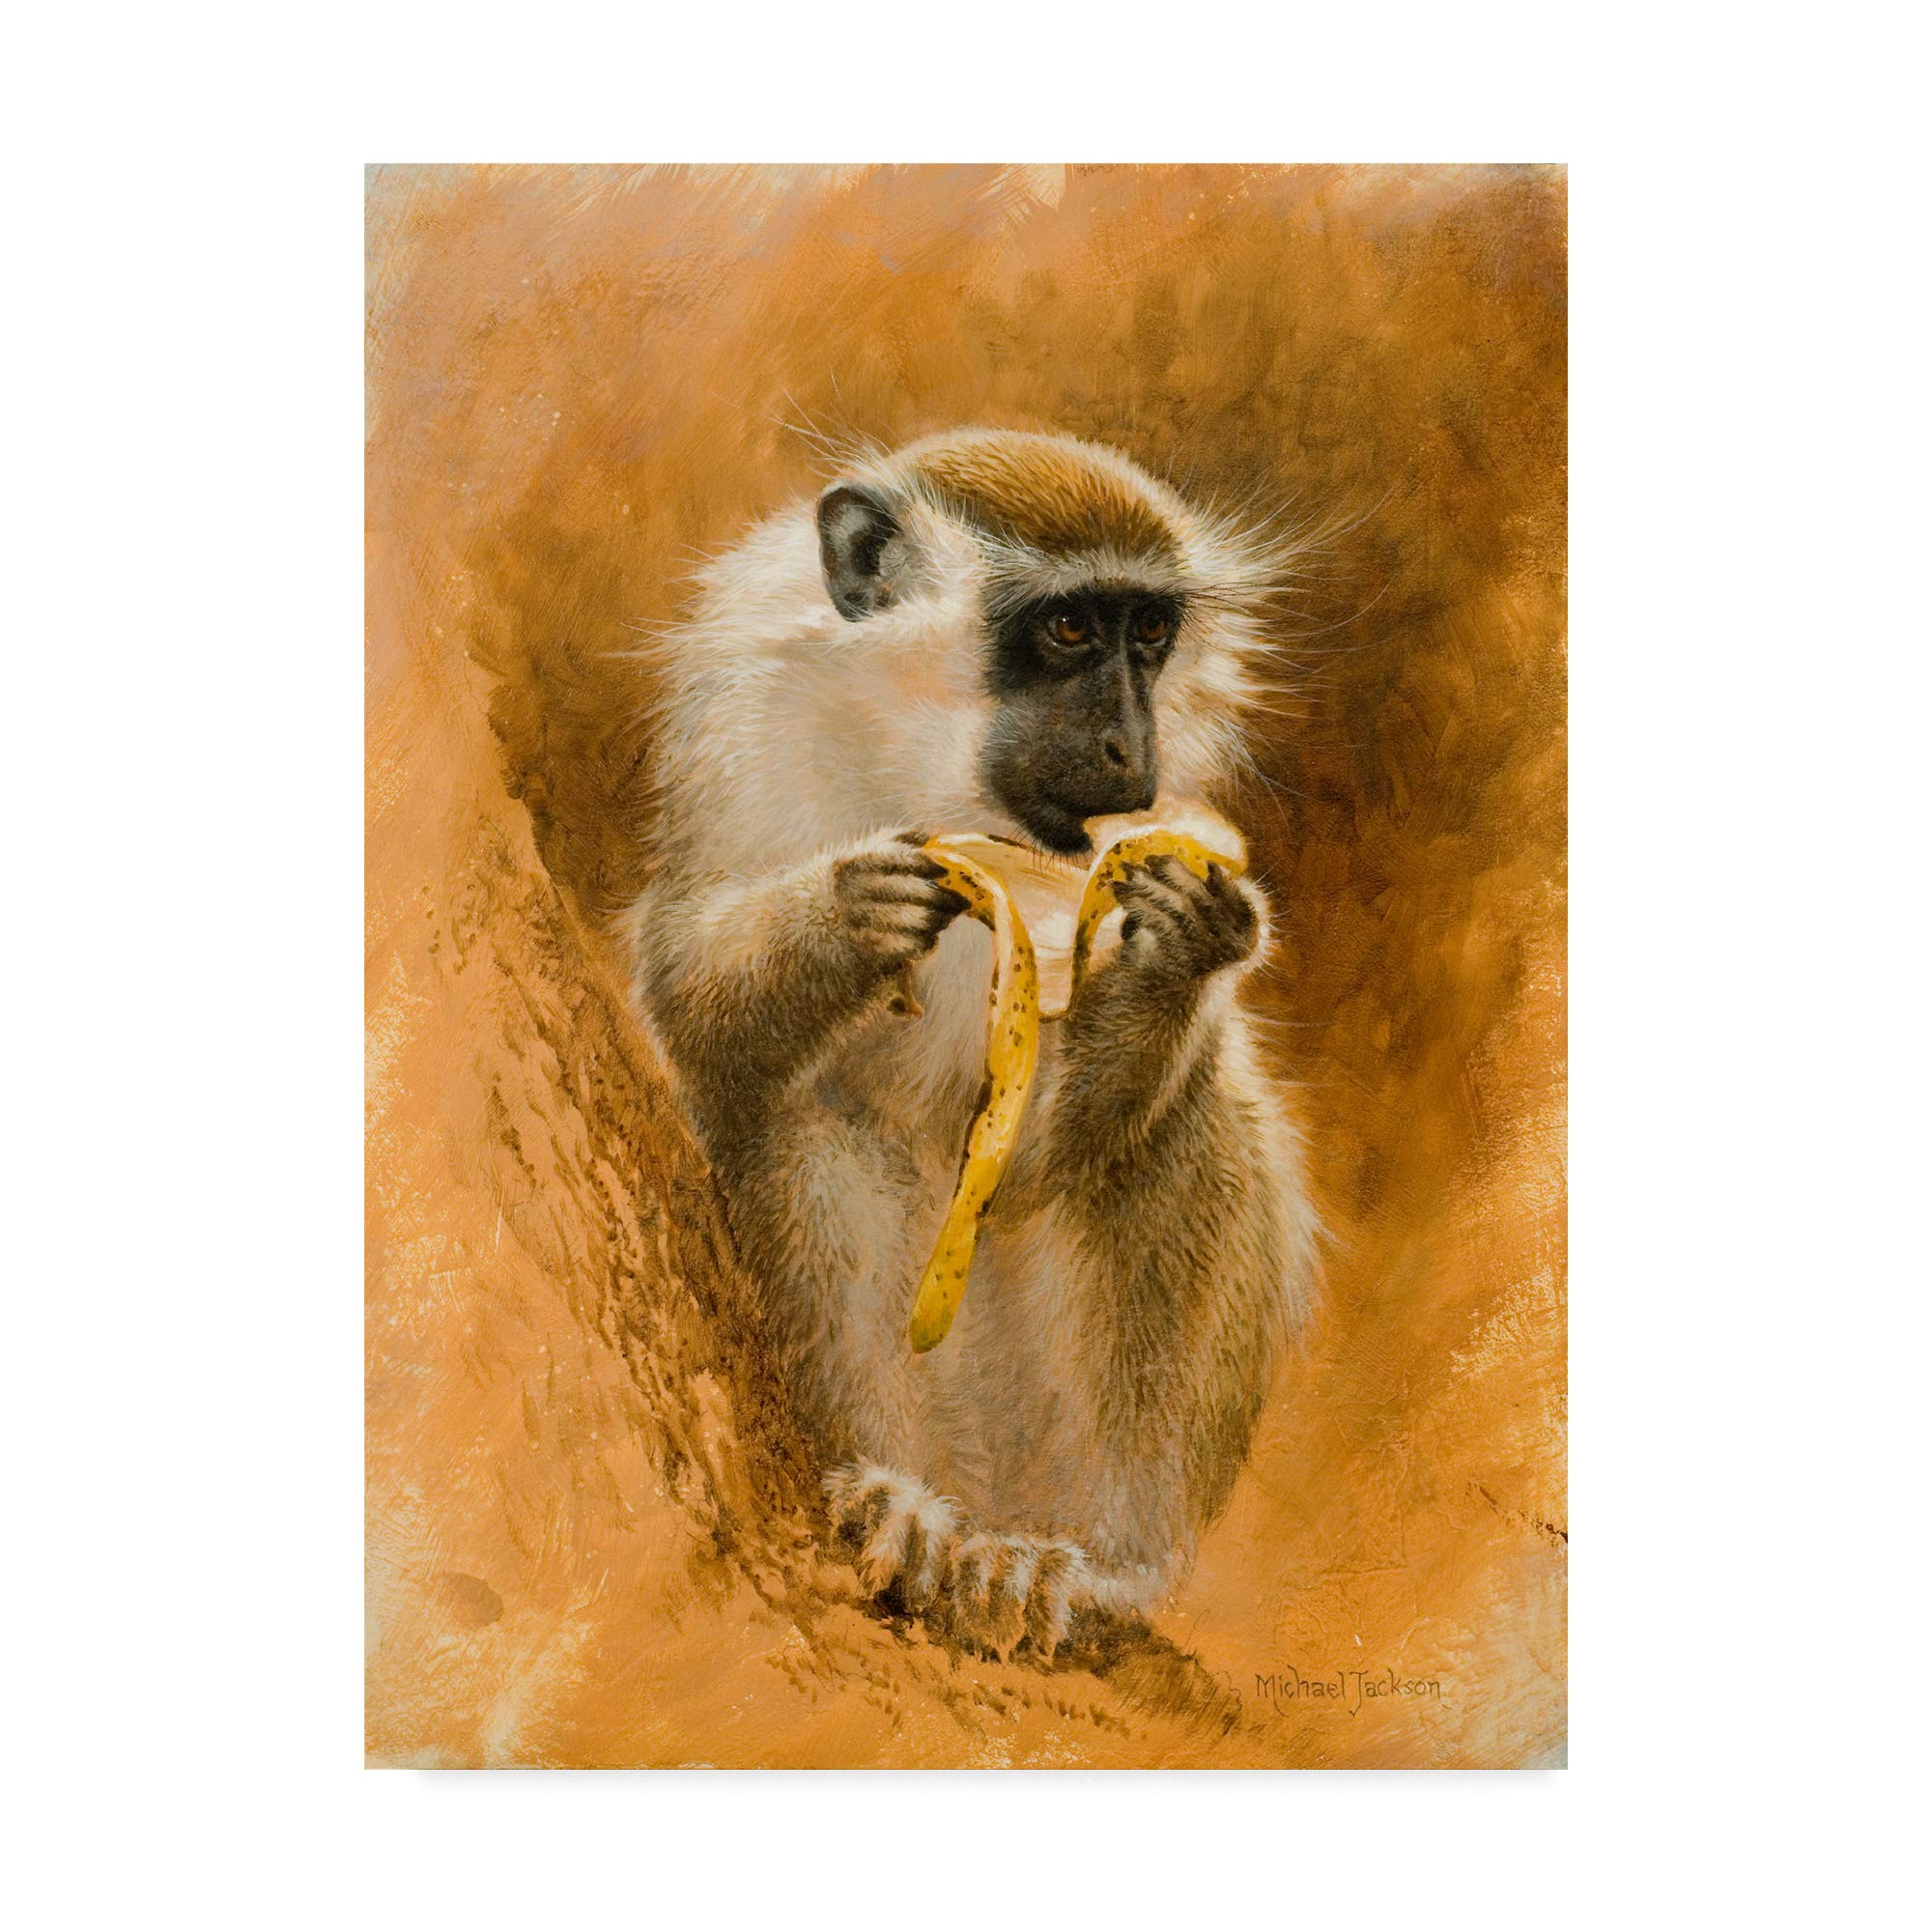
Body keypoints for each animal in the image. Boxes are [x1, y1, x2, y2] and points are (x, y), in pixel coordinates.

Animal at [620, 428, 1320, 1660]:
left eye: (1148, 632)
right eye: (1068, 628)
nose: (1124, 746)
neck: (937, 771)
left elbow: (1037, 1156)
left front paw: (1182, 945)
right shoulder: (739, 720)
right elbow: (688, 992)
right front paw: (851, 911)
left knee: (1182, 1124)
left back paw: (1098, 1565)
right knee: (813, 1115)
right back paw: (900, 1495)